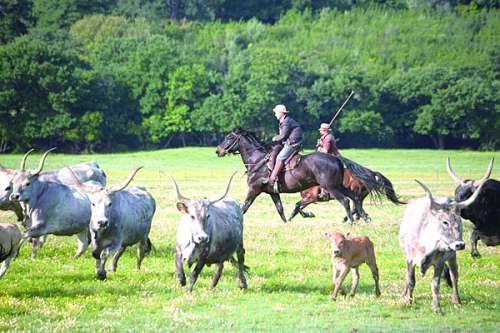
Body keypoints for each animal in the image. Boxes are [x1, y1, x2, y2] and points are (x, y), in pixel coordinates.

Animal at [215, 128, 364, 222]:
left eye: (229, 137)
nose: (218, 151)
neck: (258, 160)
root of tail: (336, 159)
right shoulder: (273, 193)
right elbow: (281, 210)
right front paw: (287, 223)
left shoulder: (254, 189)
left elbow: (244, 208)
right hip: (339, 186)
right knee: (355, 199)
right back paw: (363, 218)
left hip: (331, 187)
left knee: (345, 201)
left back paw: (351, 222)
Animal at [400, 178, 486, 312]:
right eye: (445, 222)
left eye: (459, 221)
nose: (460, 244)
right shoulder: (410, 260)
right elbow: (410, 280)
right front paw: (408, 301)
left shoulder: (439, 263)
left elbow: (435, 284)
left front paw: (436, 308)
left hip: (452, 257)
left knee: (454, 276)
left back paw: (456, 301)